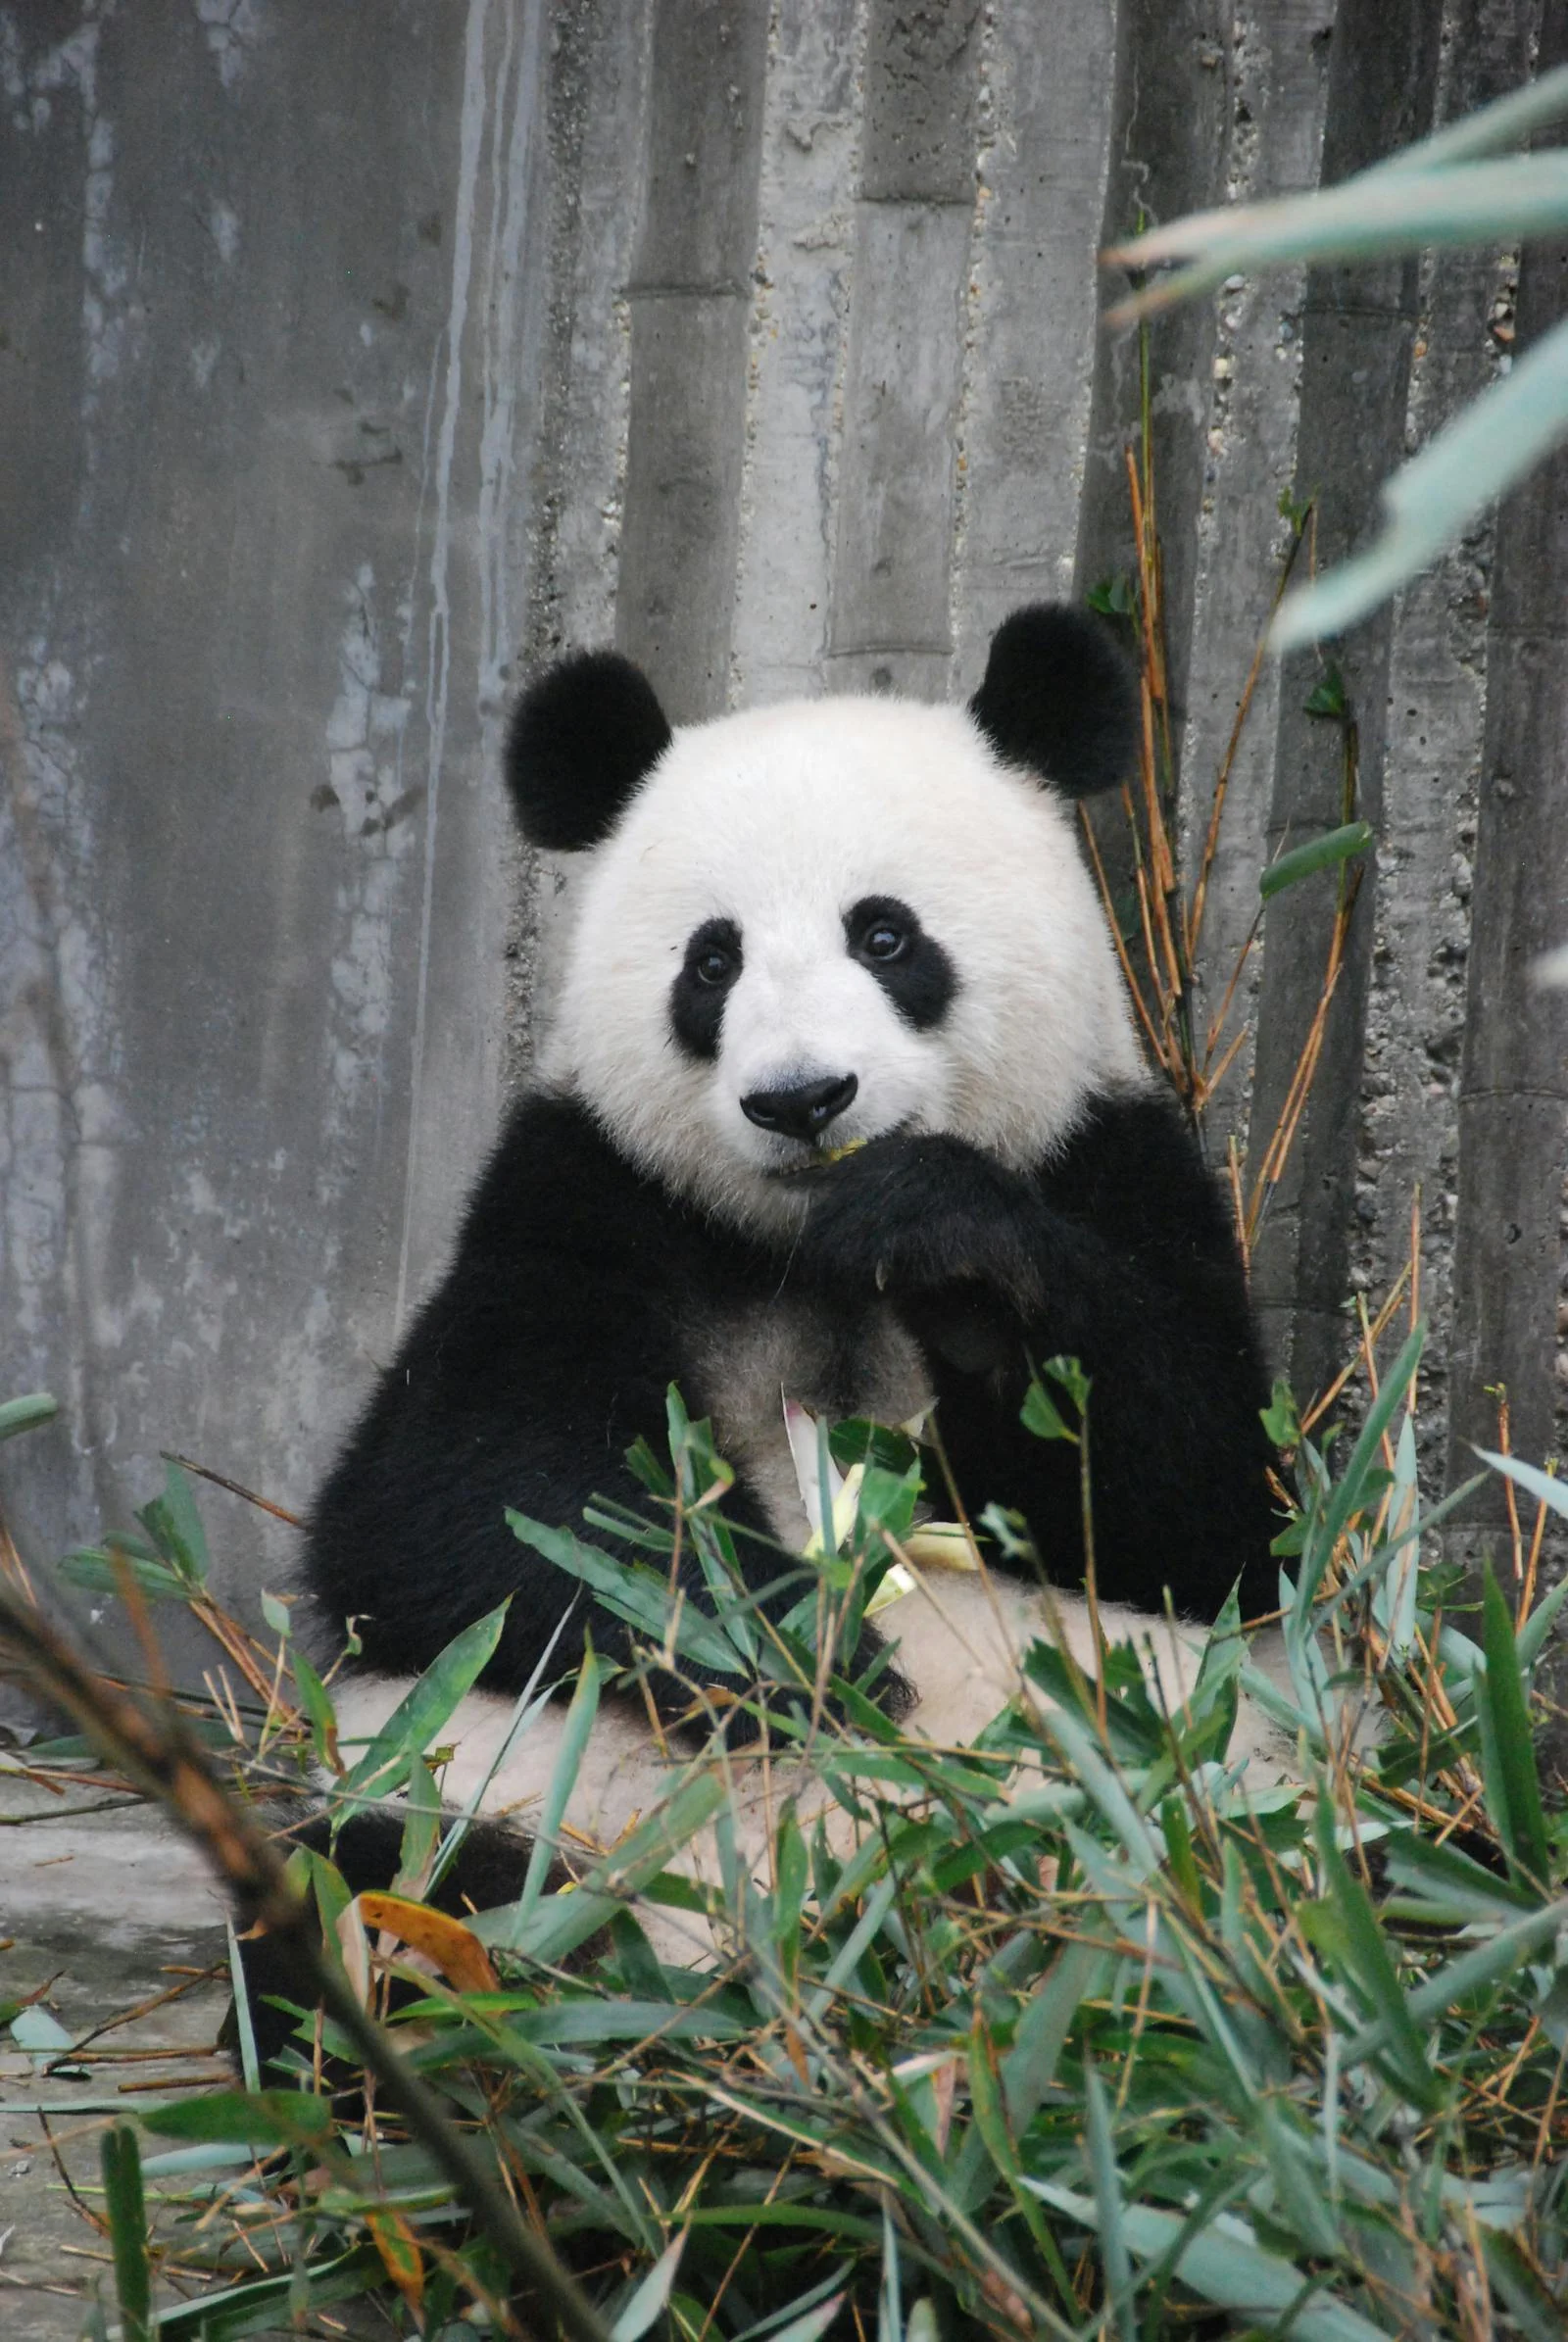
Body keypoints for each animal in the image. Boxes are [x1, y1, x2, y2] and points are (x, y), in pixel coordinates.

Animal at [304, 605, 1284, 1953]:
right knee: (386, 1882)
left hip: (1195, 1800)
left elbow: (1208, 1506)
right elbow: (454, 1504)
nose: (802, 1098)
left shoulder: (1108, 1159)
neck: (808, 1244)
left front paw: (951, 1253)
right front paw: (808, 1647)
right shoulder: (583, 1197)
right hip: (468, 1785)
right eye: (711, 962)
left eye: (884, 934)